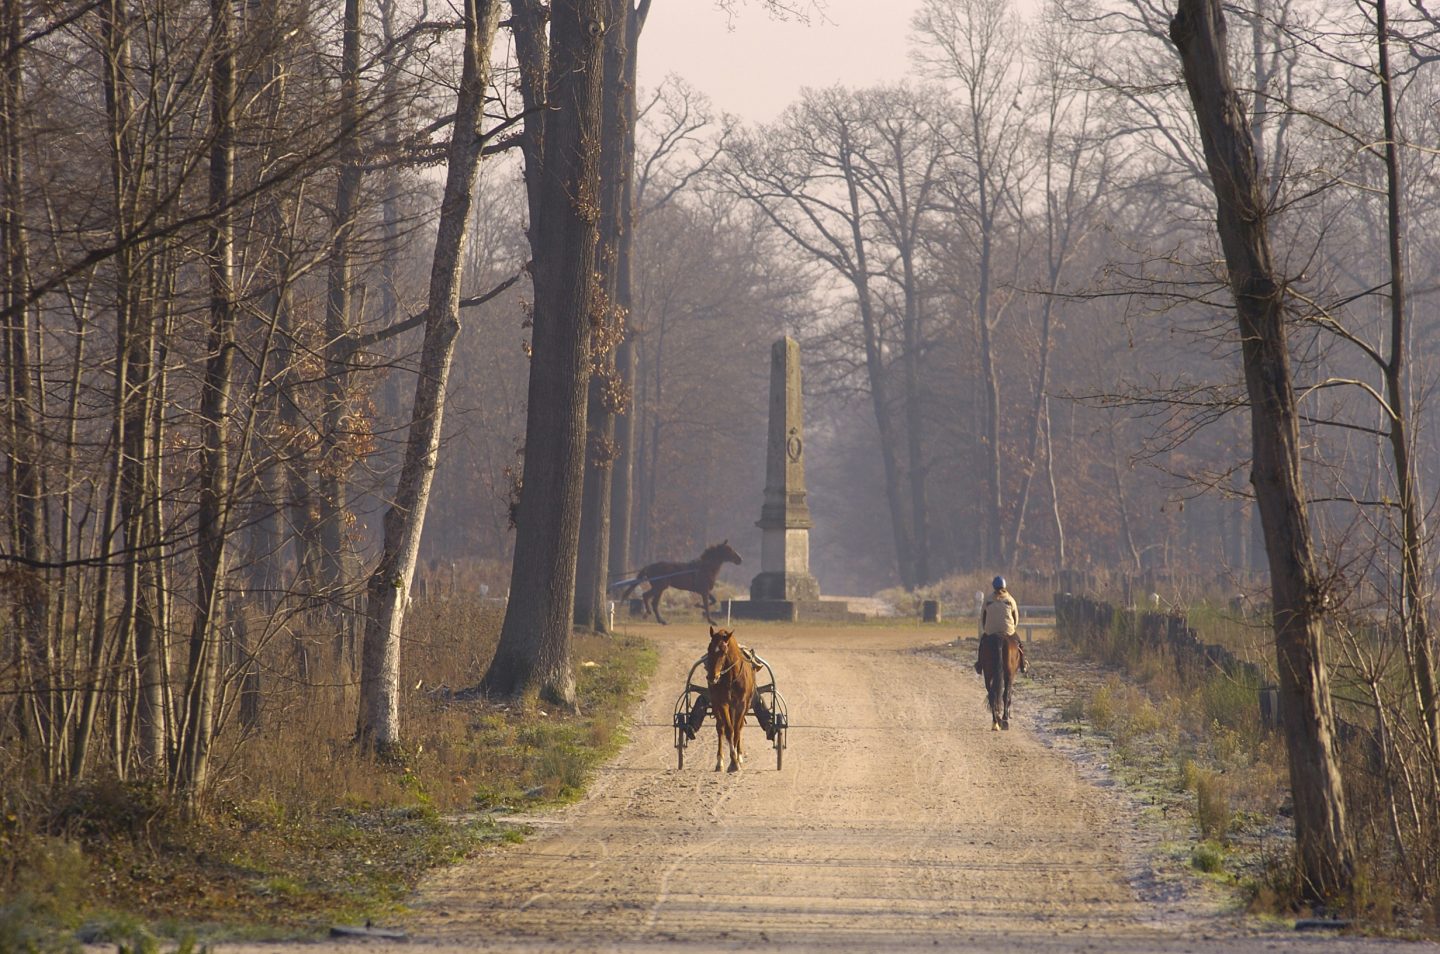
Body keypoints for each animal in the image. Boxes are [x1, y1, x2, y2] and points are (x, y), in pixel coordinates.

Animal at [705, 631, 760, 772]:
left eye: (724, 652)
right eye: (709, 649)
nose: (712, 676)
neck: (731, 678)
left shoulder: (741, 704)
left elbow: (736, 728)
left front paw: (736, 760)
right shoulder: (722, 703)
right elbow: (729, 730)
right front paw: (732, 761)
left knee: (739, 727)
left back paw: (739, 755)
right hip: (717, 704)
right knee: (720, 727)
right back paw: (720, 762)